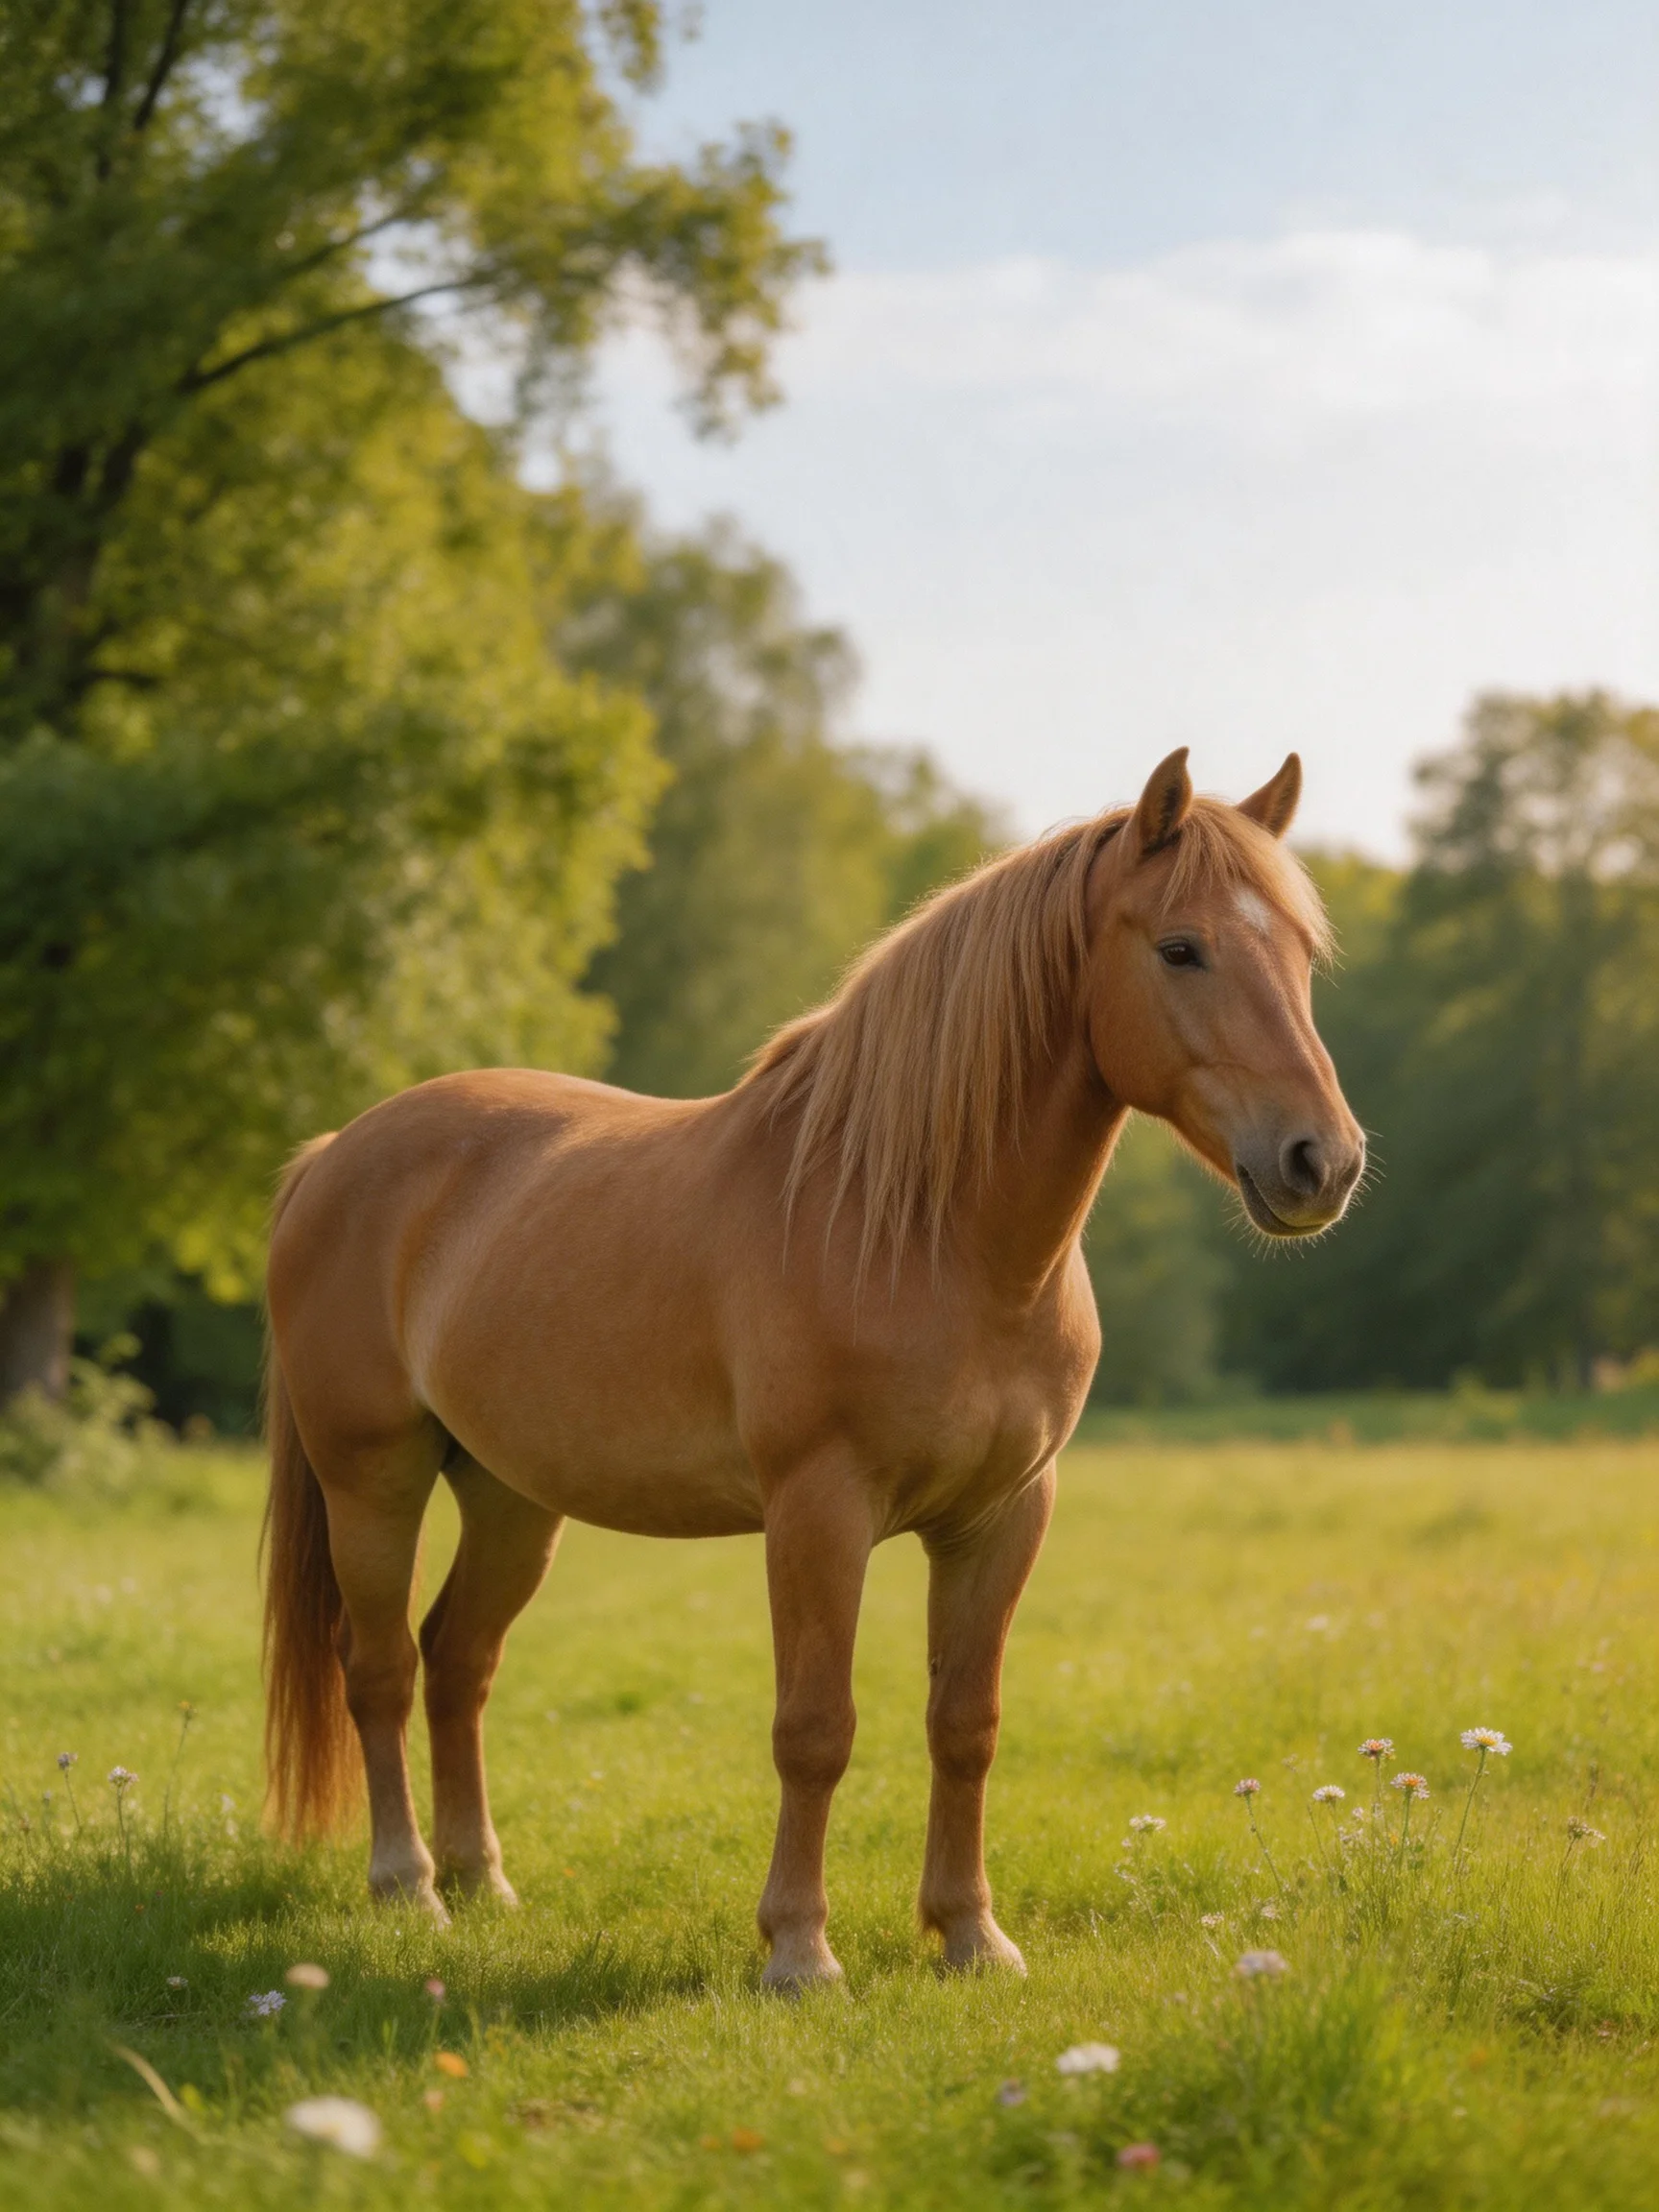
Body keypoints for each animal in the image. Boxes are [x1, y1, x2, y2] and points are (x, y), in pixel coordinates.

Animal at [263, 746, 1364, 1986]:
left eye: (1301, 955)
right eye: (1181, 947)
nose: (1321, 1162)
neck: (926, 1233)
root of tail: (331, 1154)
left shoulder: (1002, 1518)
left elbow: (964, 1725)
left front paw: (971, 1936)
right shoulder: (817, 1511)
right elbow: (815, 1729)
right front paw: (799, 1951)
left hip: (508, 1495)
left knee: (459, 1661)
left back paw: (480, 1881)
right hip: (374, 1479)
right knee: (380, 1668)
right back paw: (408, 1890)